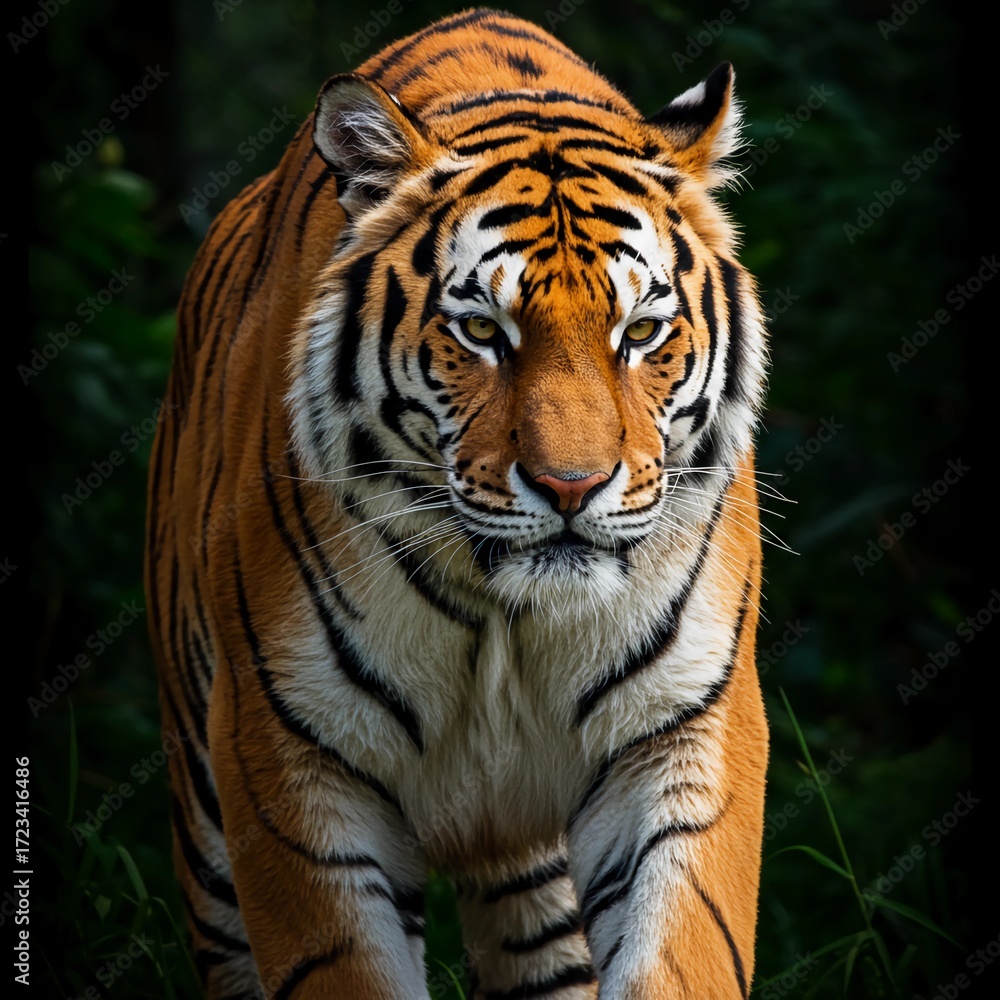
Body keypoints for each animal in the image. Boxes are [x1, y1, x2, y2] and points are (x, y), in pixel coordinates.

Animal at [145, 7, 770, 999]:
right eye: (481, 330)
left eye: (640, 332)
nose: (570, 486)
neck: (506, 619)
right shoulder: (291, 765)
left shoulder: (680, 736)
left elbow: (679, 954)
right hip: (205, 818)